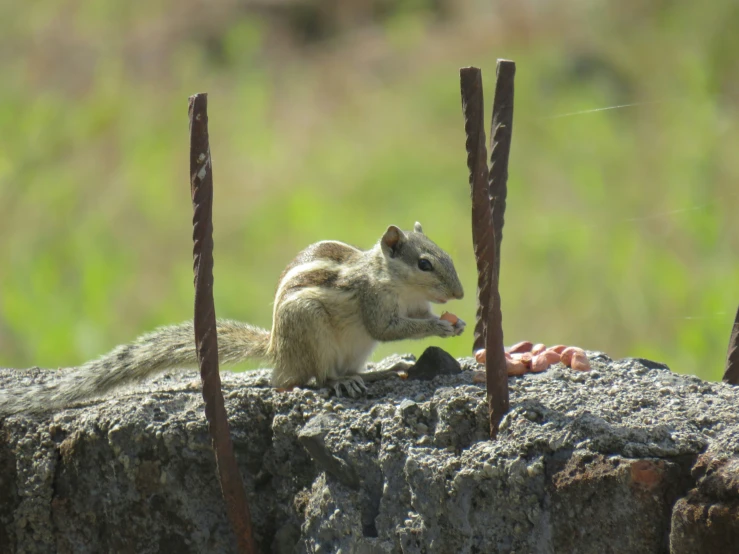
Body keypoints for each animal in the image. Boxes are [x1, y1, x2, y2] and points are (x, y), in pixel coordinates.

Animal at [0, 221, 462, 414]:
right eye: (424, 264)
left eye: (447, 256)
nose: (458, 293)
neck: (396, 283)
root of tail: (276, 351)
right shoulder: (373, 303)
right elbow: (387, 328)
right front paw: (438, 326)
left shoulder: (413, 304)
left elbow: (413, 319)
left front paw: (453, 323)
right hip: (308, 329)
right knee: (304, 380)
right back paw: (338, 382)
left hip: (351, 350)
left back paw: (376, 373)